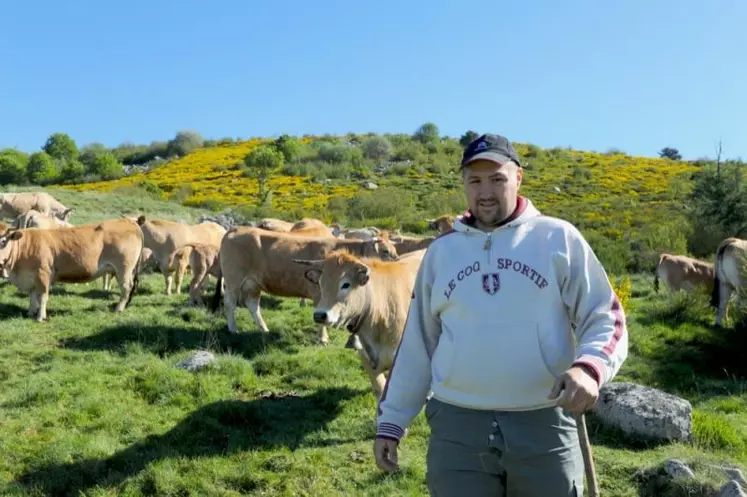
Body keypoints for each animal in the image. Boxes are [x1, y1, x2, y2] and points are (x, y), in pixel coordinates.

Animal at [0, 218, 145, 320]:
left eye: (3, 241)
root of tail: (130, 222)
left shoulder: (43, 274)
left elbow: (42, 297)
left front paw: (40, 317)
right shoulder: (31, 277)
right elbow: (32, 295)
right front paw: (30, 312)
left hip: (124, 269)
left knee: (126, 287)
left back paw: (118, 308)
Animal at [210, 227, 400, 342]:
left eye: (394, 250)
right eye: (385, 251)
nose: (397, 261)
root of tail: (236, 229)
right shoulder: (318, 294)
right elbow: (321, 317)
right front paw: (323, 339)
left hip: (253, 284)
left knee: (253, 305)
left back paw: (264, 329)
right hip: (233, 280)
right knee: (230, 303)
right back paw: (233, 329)